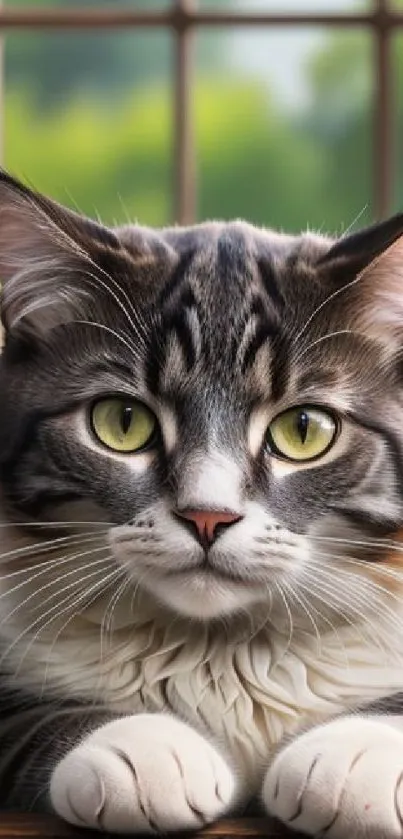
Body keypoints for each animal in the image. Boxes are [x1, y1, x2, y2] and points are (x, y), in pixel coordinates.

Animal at [1, 167, 403, 836]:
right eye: (122, 421)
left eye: (304, 430)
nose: (207, 516)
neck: (221, 644)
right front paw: (141, 748)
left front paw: (356, 754)